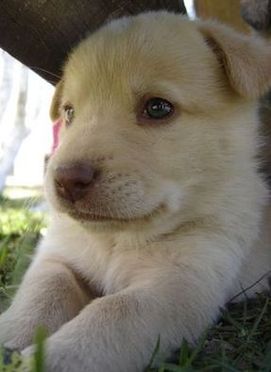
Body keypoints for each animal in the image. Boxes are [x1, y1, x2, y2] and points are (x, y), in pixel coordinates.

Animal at [0, 11, 271, 372]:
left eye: (157, 108)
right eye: (70, 113)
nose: (66, 179)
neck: (115, 240)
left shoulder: (180, 285)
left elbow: (113, 311)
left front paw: (55, 357)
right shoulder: (58, 256)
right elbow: (44, 290)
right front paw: (11, 335)